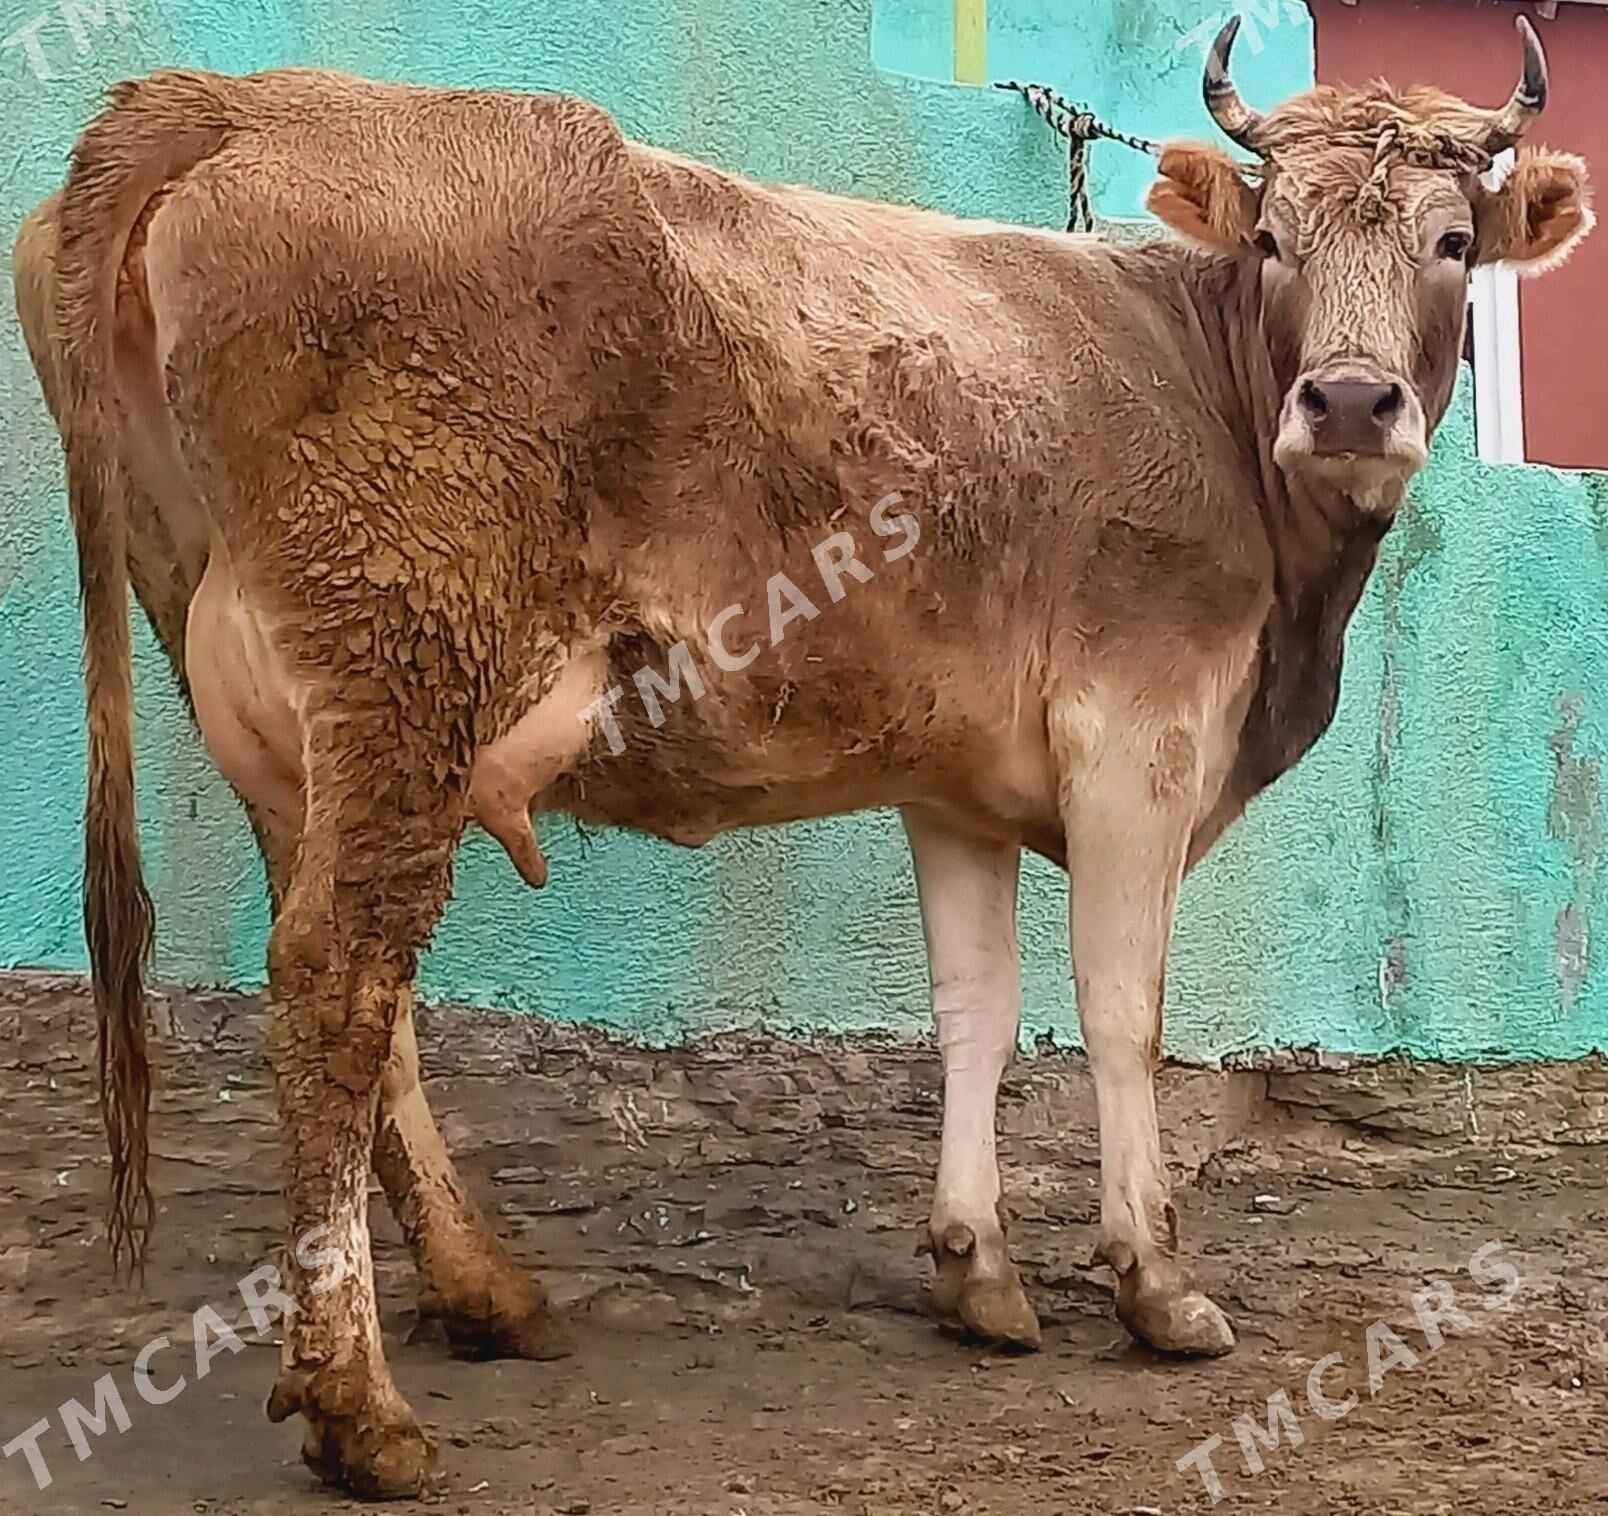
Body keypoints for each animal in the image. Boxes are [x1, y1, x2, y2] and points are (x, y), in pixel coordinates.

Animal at [15, 17, 1595, 1498]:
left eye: (1455, 242)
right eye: (1273, 239)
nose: (1350, 403)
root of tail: (239, 101)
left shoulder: (956, 783)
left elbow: (974, 1008)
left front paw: (979, 1273)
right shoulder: (1138, 731)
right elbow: (1121, 1009)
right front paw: (1157, 1286)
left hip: (285, 705)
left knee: (361, 992)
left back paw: (486, 1292)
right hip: (403, 656)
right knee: (337, 984)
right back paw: (363, 1411)